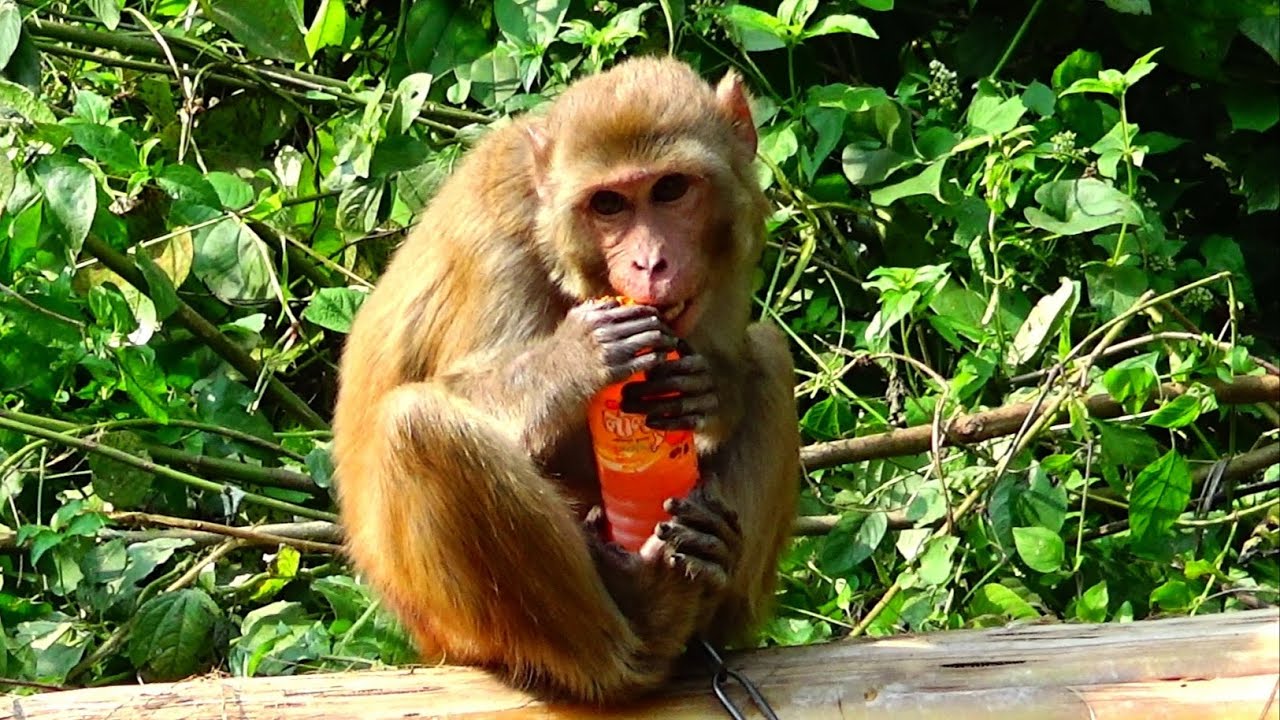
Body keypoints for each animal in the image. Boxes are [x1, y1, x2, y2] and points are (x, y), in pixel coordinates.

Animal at [332, 56, 799, 704]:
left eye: (670, 189)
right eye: (608, 205)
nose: (650, 262)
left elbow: (731, 363)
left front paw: (713, 387)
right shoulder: (499, 241)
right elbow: (453, 391)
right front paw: (578, 357)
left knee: (772, 356)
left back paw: (709, 559)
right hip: (456, 625)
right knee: (420, 424)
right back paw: (644, 622)